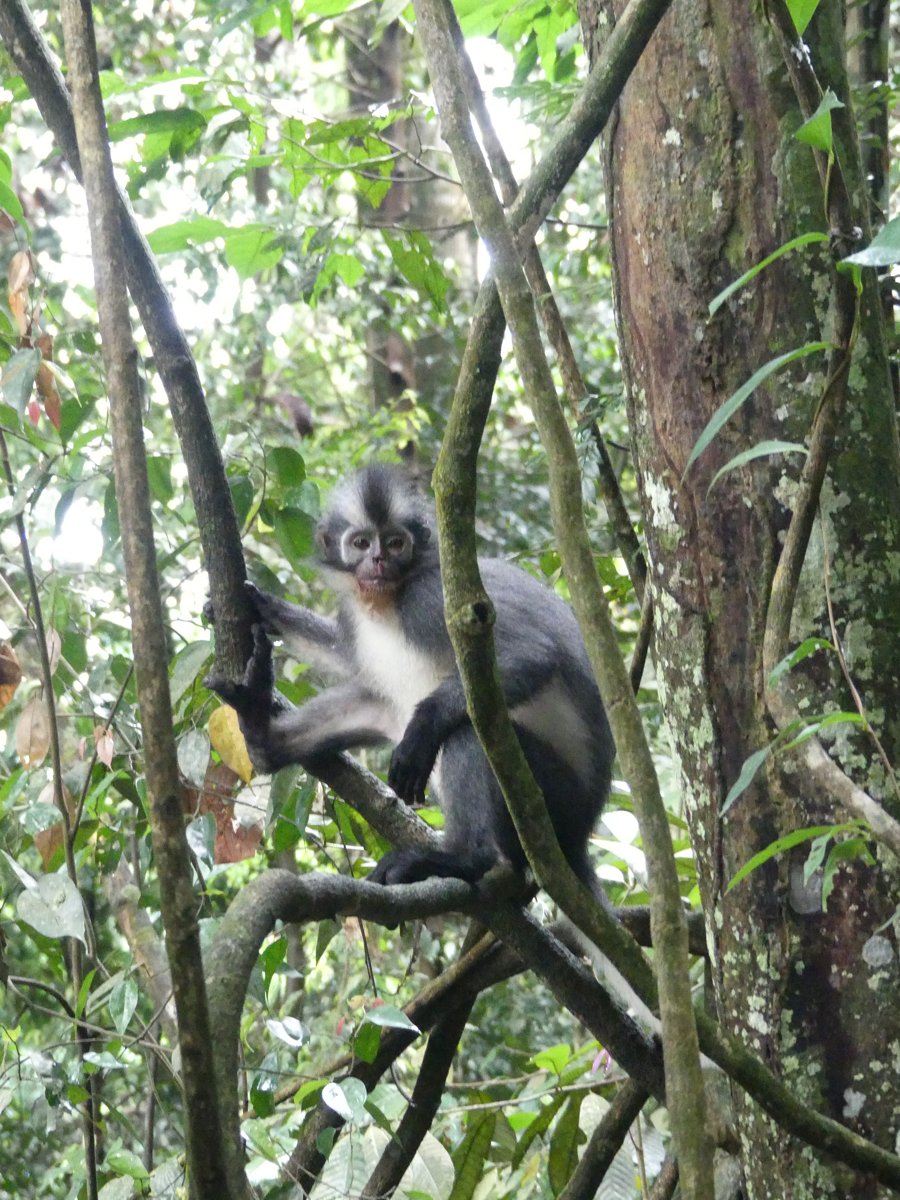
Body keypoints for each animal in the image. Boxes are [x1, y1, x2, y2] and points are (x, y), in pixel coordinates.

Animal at [208, 463, 615, 888]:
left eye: (395, 543)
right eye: (361, 543)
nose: (378, 560)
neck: (388, 600)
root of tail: (577, 839)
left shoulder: (432, 598)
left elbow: (534, 654)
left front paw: (423, 729)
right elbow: (345, 655)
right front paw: (262, 606)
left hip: (552, 799)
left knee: (472, 729)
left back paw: (462, 858)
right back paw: (260, 729)